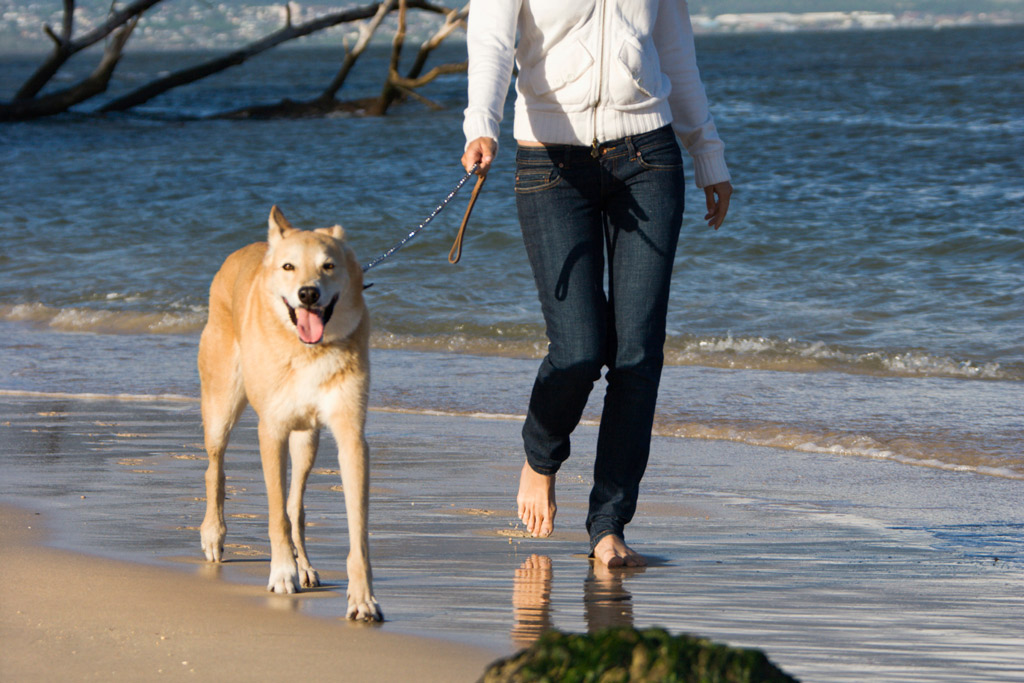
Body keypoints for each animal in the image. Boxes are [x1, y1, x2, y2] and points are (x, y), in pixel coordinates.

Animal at [196, 205, 380, 622]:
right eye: (288, 266)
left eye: (328, 265)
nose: (308, 293)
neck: (308, 350)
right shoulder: (272, 431)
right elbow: (275, 514)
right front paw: (282, 574)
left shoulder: (350, 436)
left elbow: (356, 530)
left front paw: (362, 597)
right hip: (221, 405)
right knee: (215, 467)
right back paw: (213, 535)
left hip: (306, 439)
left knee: (297, 505)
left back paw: (306, 566)